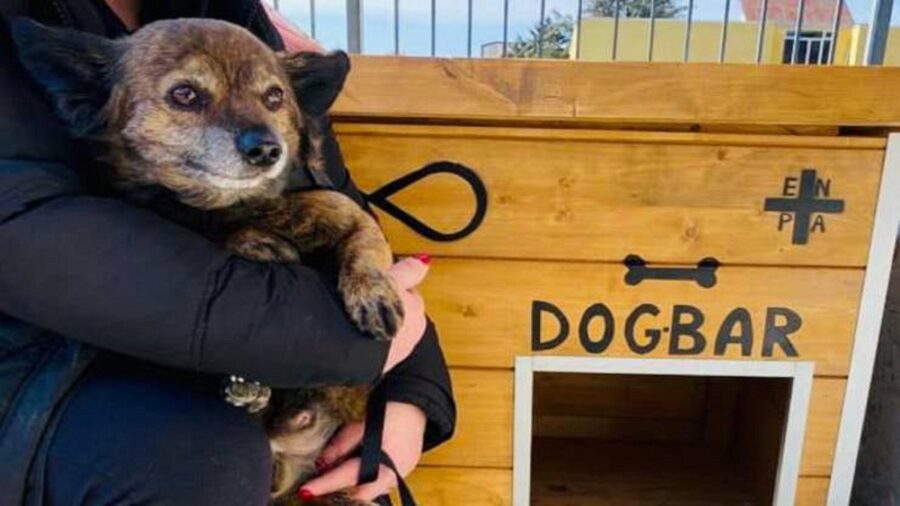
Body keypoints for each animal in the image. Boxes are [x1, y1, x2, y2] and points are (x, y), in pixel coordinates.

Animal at [10, 17, 400, 504]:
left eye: (275, 97)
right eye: (185, 94)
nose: (266, 148)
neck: (232, 207)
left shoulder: (337, 211)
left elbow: (364, 237)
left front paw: (374, 293)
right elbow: (233, 236)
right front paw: (257, 243)